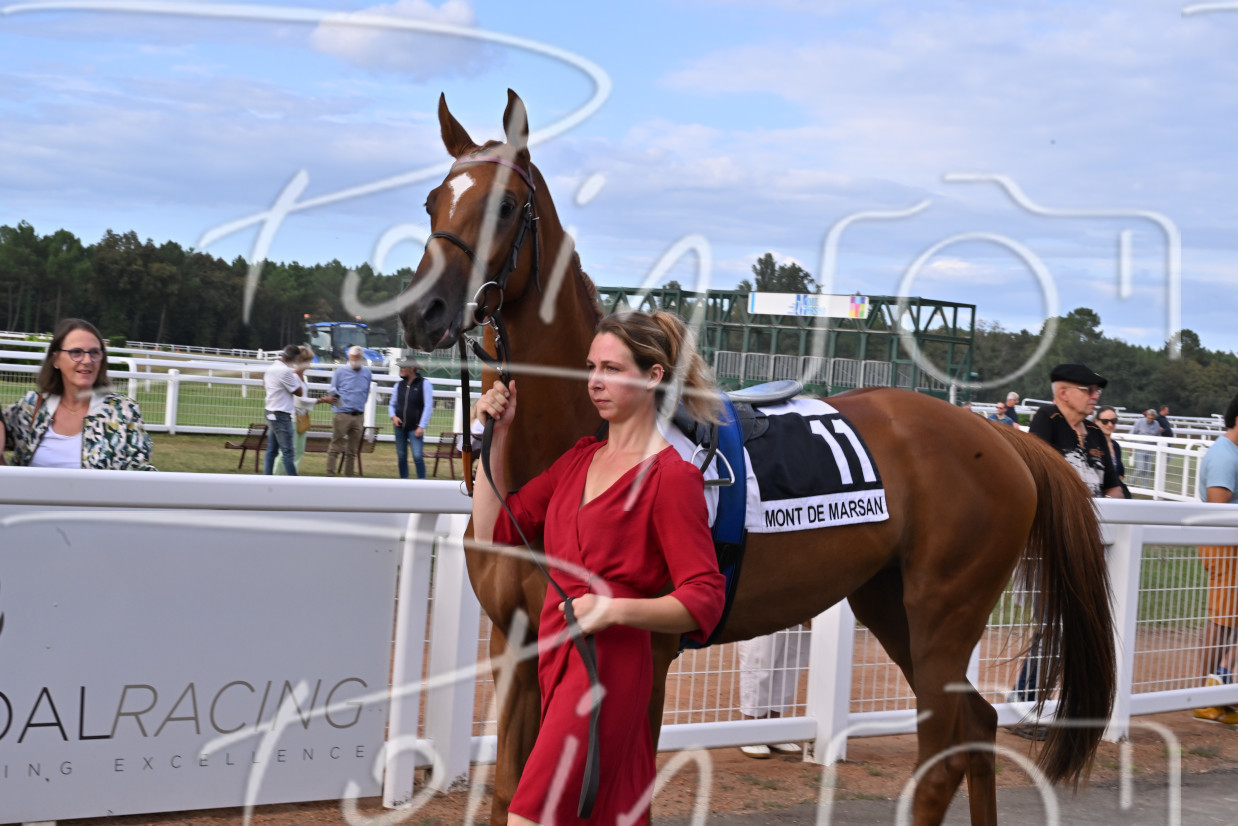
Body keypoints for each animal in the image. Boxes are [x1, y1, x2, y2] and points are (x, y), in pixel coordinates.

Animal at [397, 90, 1116, 826]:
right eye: (432, 201)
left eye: (507, 205)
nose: (424, 310)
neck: (576, 439)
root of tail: (1001, 435)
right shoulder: (515, 645)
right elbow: (508, 791)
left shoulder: (642, 653)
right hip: (888, 603)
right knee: (978, 726)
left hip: (944, 609)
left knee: (945, 749)